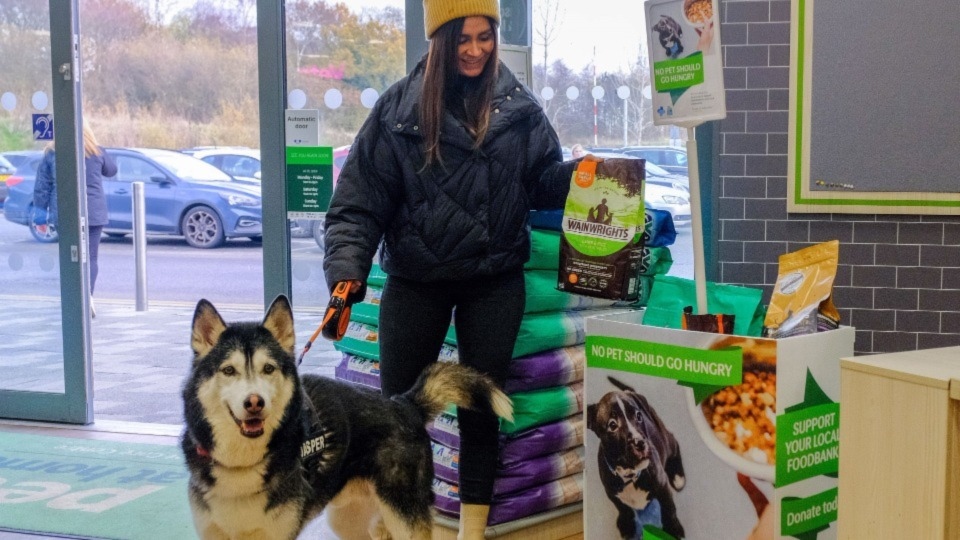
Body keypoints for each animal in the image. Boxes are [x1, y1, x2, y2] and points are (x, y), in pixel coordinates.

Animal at [180, 296, 510, 540]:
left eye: (268, 369)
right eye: (228, 370)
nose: (254, 403)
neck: (242, 464)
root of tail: (404, 403)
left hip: (404, 516)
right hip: (348, 519)